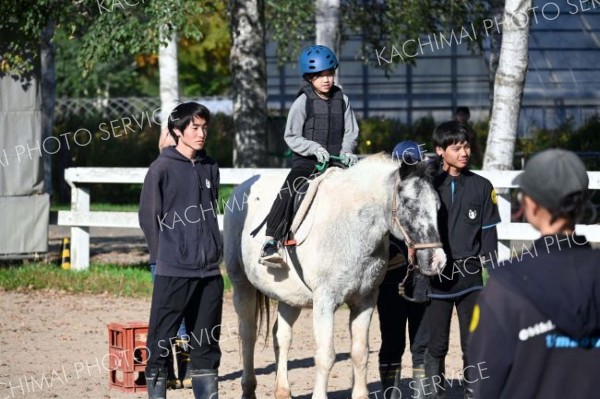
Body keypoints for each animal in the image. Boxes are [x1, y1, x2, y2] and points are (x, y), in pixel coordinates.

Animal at [224, 155, 446, 398]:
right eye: (409, 205)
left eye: (437, 206)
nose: (437, 260)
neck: (351, 226)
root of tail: (241, 188)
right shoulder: (325, 301)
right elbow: (326, 355)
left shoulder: (365, 300)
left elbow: (360, 352)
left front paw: (361, 395)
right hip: (241, 285)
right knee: (248, 334)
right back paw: (248, 388)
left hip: (290, 296)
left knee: (281, 336)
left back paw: (282, 390)